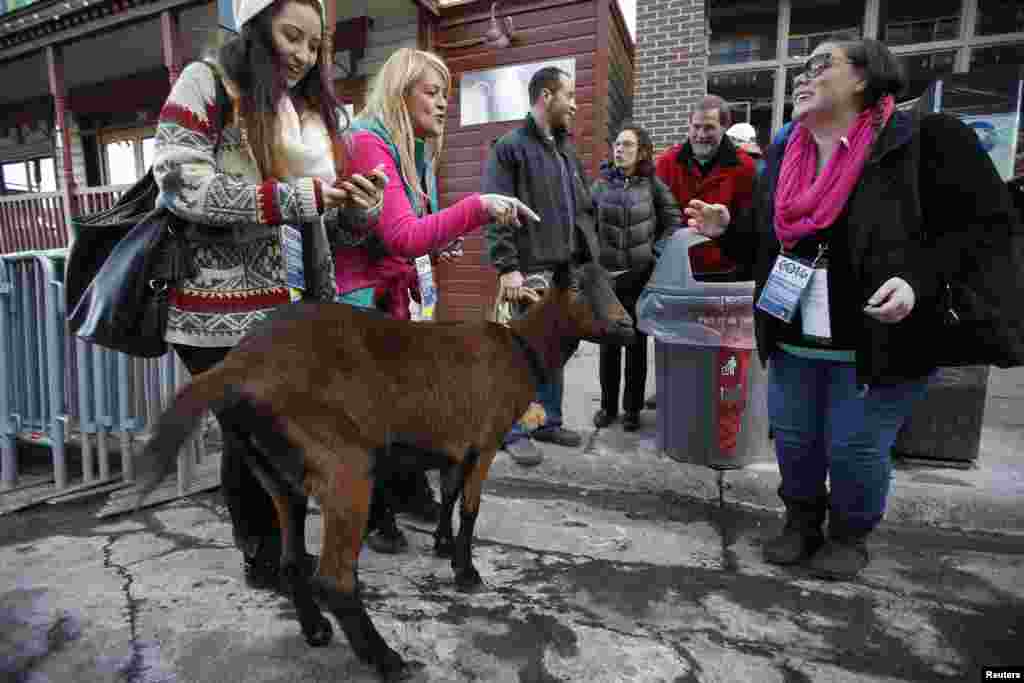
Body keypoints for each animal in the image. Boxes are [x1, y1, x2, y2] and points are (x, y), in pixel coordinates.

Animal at [135, 260, 630, 679]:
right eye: (579, 286)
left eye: (613, 283)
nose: (627, 326)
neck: (520, 350)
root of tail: (234, 368)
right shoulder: (486, 441)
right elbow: (470, 507)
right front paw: (466, 572)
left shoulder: (455, 443)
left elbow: (449, 494)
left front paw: (442, 546)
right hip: (342, 465)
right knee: (334, 579)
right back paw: (386, 659)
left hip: (277, 470)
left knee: (294, 560)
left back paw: (316, 630)